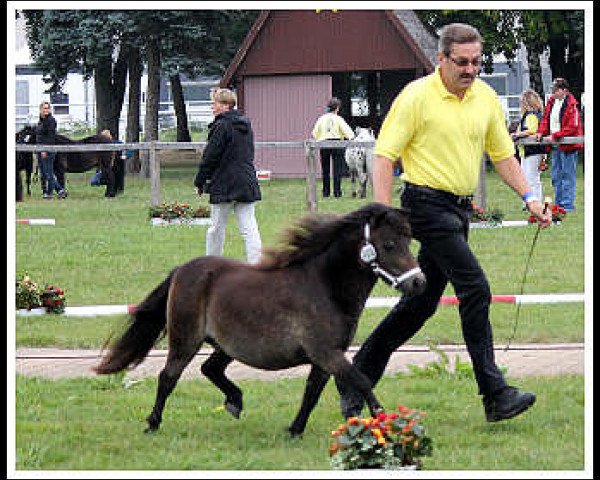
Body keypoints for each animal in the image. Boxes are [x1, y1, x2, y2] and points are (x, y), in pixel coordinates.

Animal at [94, 202, 426, 436]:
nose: (419, 283)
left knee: (209, 368)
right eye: (389, 245)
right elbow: (361, 380)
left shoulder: (327, 357)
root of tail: (182, 270)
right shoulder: (326, 353)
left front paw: (295, 429)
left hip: (227, 345)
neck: (325, 286)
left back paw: (235, 401)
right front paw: (384, 422)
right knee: (168, 377)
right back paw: (153, 422)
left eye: (409, 241)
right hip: (185, 339)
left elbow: (312, 392)